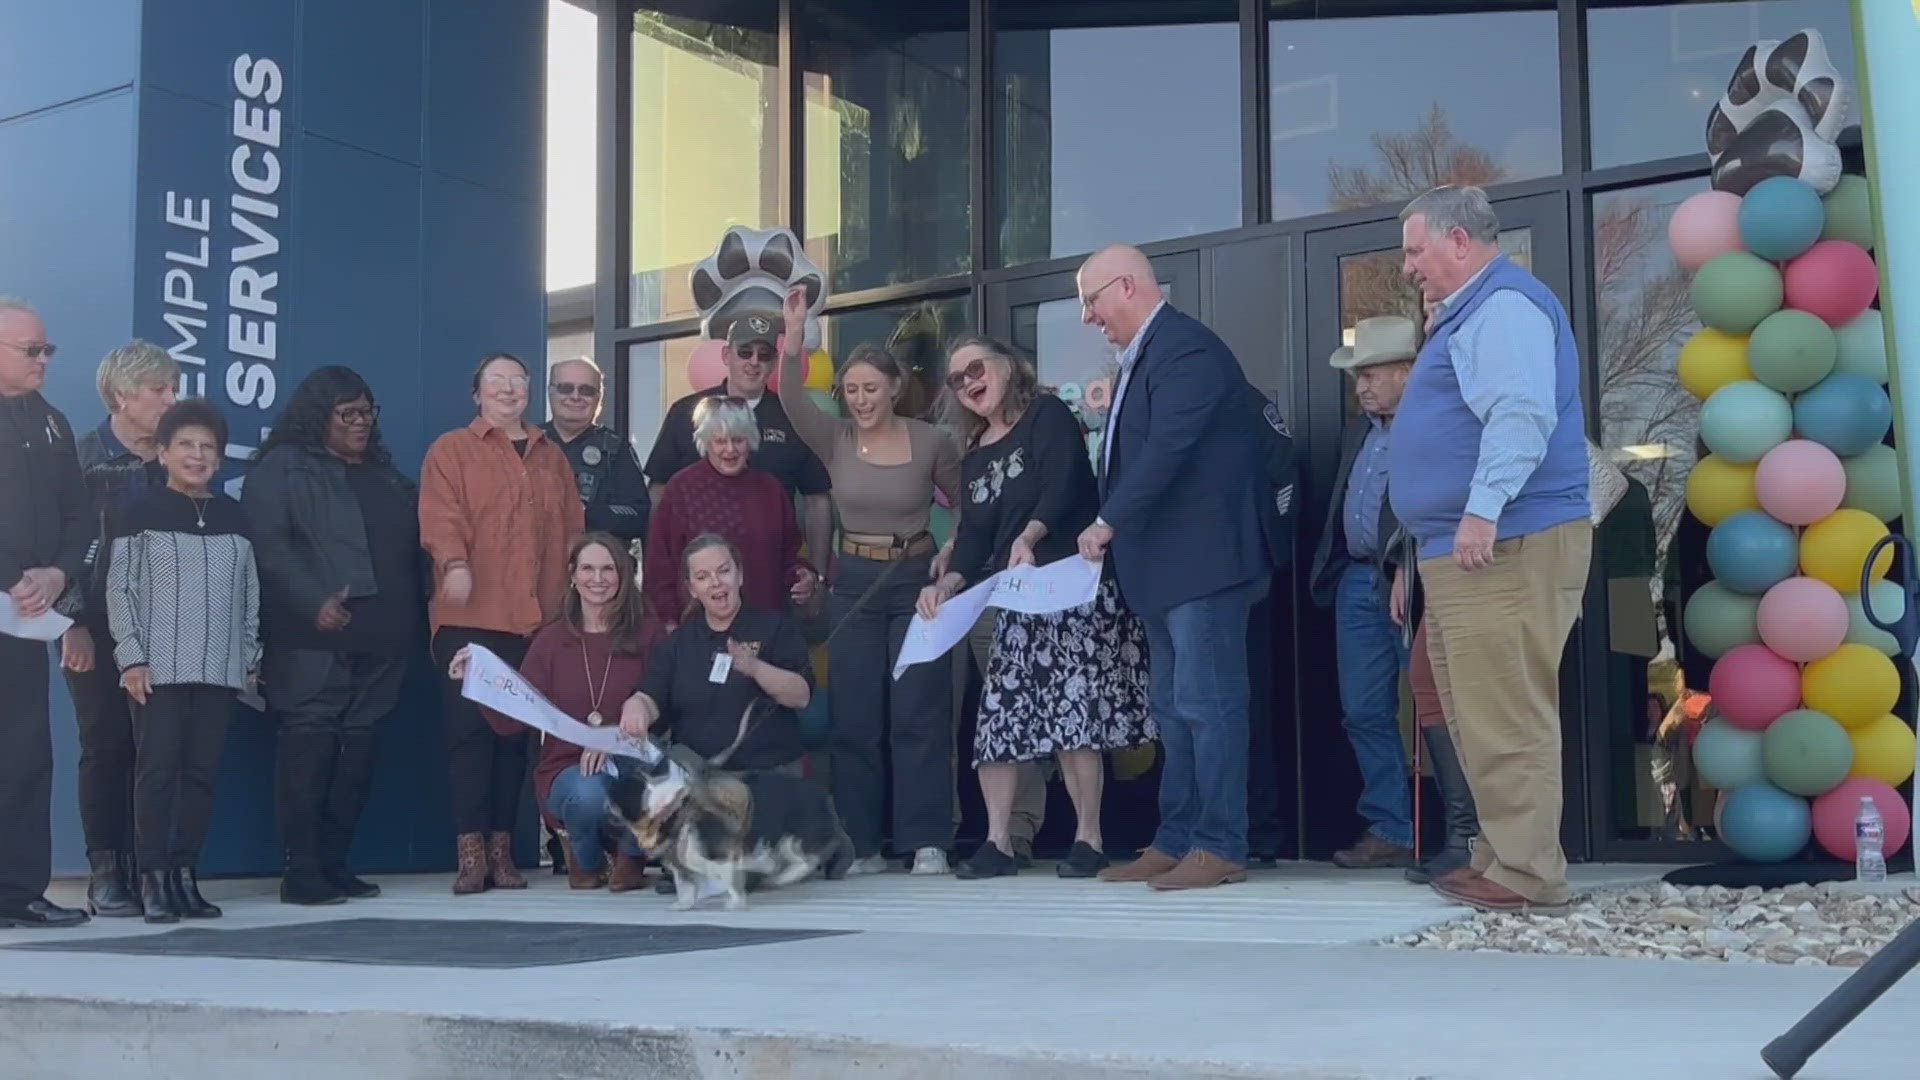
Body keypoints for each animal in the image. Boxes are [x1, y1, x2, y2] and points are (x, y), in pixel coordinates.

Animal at [610, 749, 852, 907]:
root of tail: (825, 797)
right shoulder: (684, 860)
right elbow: (687, 884)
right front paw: (683, 905)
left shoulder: (720, 853)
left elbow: (726, 873)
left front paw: (734, 902)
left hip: (794, 840)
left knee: (804, 860)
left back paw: (779, 876)